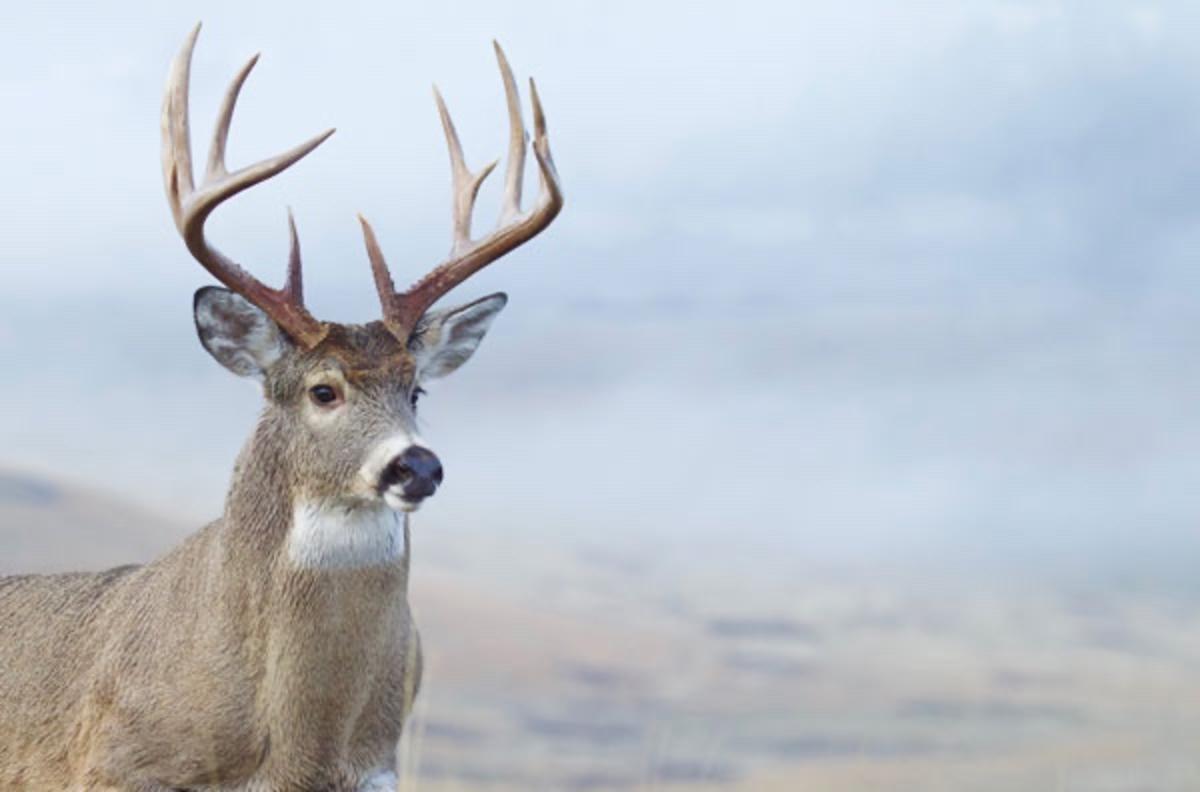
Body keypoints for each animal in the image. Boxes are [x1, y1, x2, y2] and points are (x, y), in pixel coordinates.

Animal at [0, 24, 559, 792]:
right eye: (324, 389)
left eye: (415, 390)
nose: (416, 466)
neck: (300, 749)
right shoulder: (115, 764)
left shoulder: (376, 770)